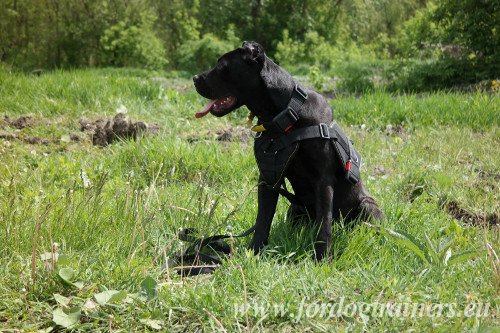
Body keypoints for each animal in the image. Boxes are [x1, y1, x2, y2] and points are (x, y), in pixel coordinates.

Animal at [192, 41, 382, 260]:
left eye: (222, 66)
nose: (194, 79)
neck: (285, 115)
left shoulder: (323, 180)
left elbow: (324, 223)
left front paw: (323, 258)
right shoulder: (268, 179)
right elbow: (263, 219)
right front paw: (254, 252)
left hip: (368, 207)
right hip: (294, 208)